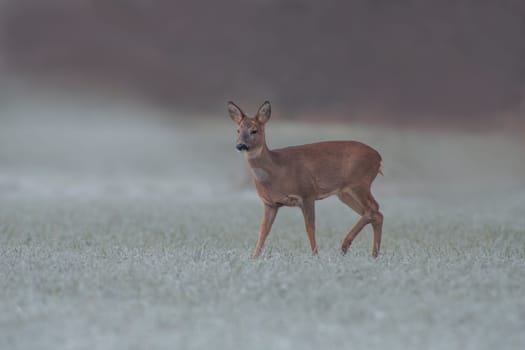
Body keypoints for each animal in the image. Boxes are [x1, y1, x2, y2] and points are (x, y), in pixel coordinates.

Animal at [227, 101, 382, 258]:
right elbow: (263, 231)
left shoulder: (307, 193)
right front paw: (254, 257)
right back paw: (372, 255)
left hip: (359, 183)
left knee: (373, 209)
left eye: (254, 130)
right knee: (376, 214)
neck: (277, 171)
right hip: (344, 193)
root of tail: (378, 157)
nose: (240, 145)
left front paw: (315, 255)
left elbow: (310, 227)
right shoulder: (270, 203)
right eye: (237, 130)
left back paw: (346, 245)